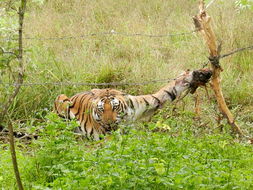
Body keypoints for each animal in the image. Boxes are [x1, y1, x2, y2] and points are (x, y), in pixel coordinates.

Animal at [54, 68, 212, 140]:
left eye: (115, 107)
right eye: (101, 110)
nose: (109, 124)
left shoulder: (146, 103)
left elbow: (167, 91)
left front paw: (196, 75)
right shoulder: (108, 136)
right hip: (61, 100)